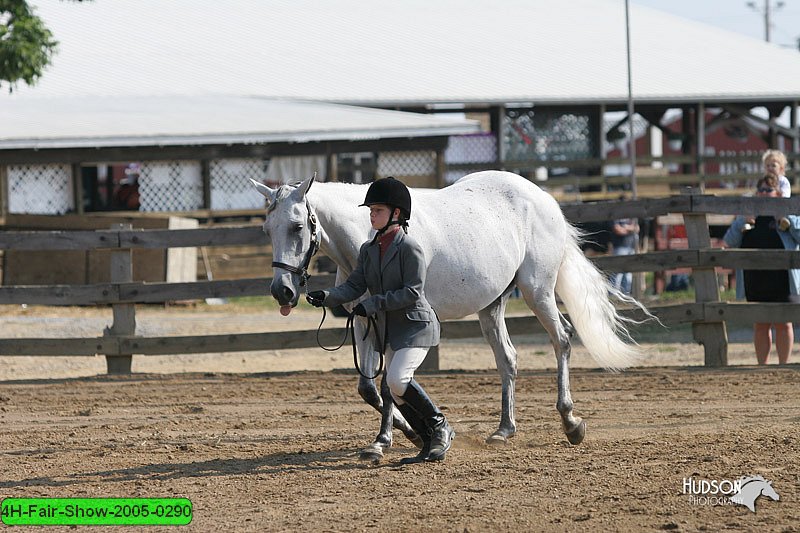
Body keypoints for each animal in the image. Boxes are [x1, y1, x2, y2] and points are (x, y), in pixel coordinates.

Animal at [253, 169, 648, 458]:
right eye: (266, 229)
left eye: (297, 226)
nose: (282, 291)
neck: (370, 238)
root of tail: (544, 197)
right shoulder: (366, 321)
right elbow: (369, 388)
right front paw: (407, 433)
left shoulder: (396, 320)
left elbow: (388, 383)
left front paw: (389, 440)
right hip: (492, 305)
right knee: (507, 358)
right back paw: (504, 430)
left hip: (537, 291)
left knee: (562, 339)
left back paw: (570, 422)